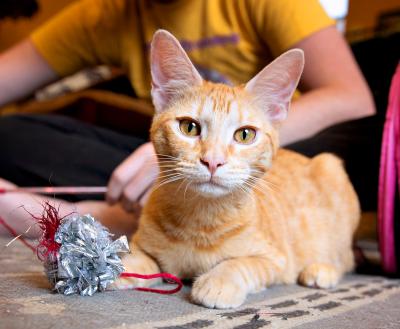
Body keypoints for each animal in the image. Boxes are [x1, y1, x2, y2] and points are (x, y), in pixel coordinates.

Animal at [117, 30, 360, 308]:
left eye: (245, 134)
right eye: (189, 127)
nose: (213, 161)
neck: (200, 221)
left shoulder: (276, 260)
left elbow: (241, 264)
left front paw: (219, 281)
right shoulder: (142, 245)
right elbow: (139, 258)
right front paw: (113, 267)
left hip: (330, 166)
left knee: (346, 259)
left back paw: (322, 270)